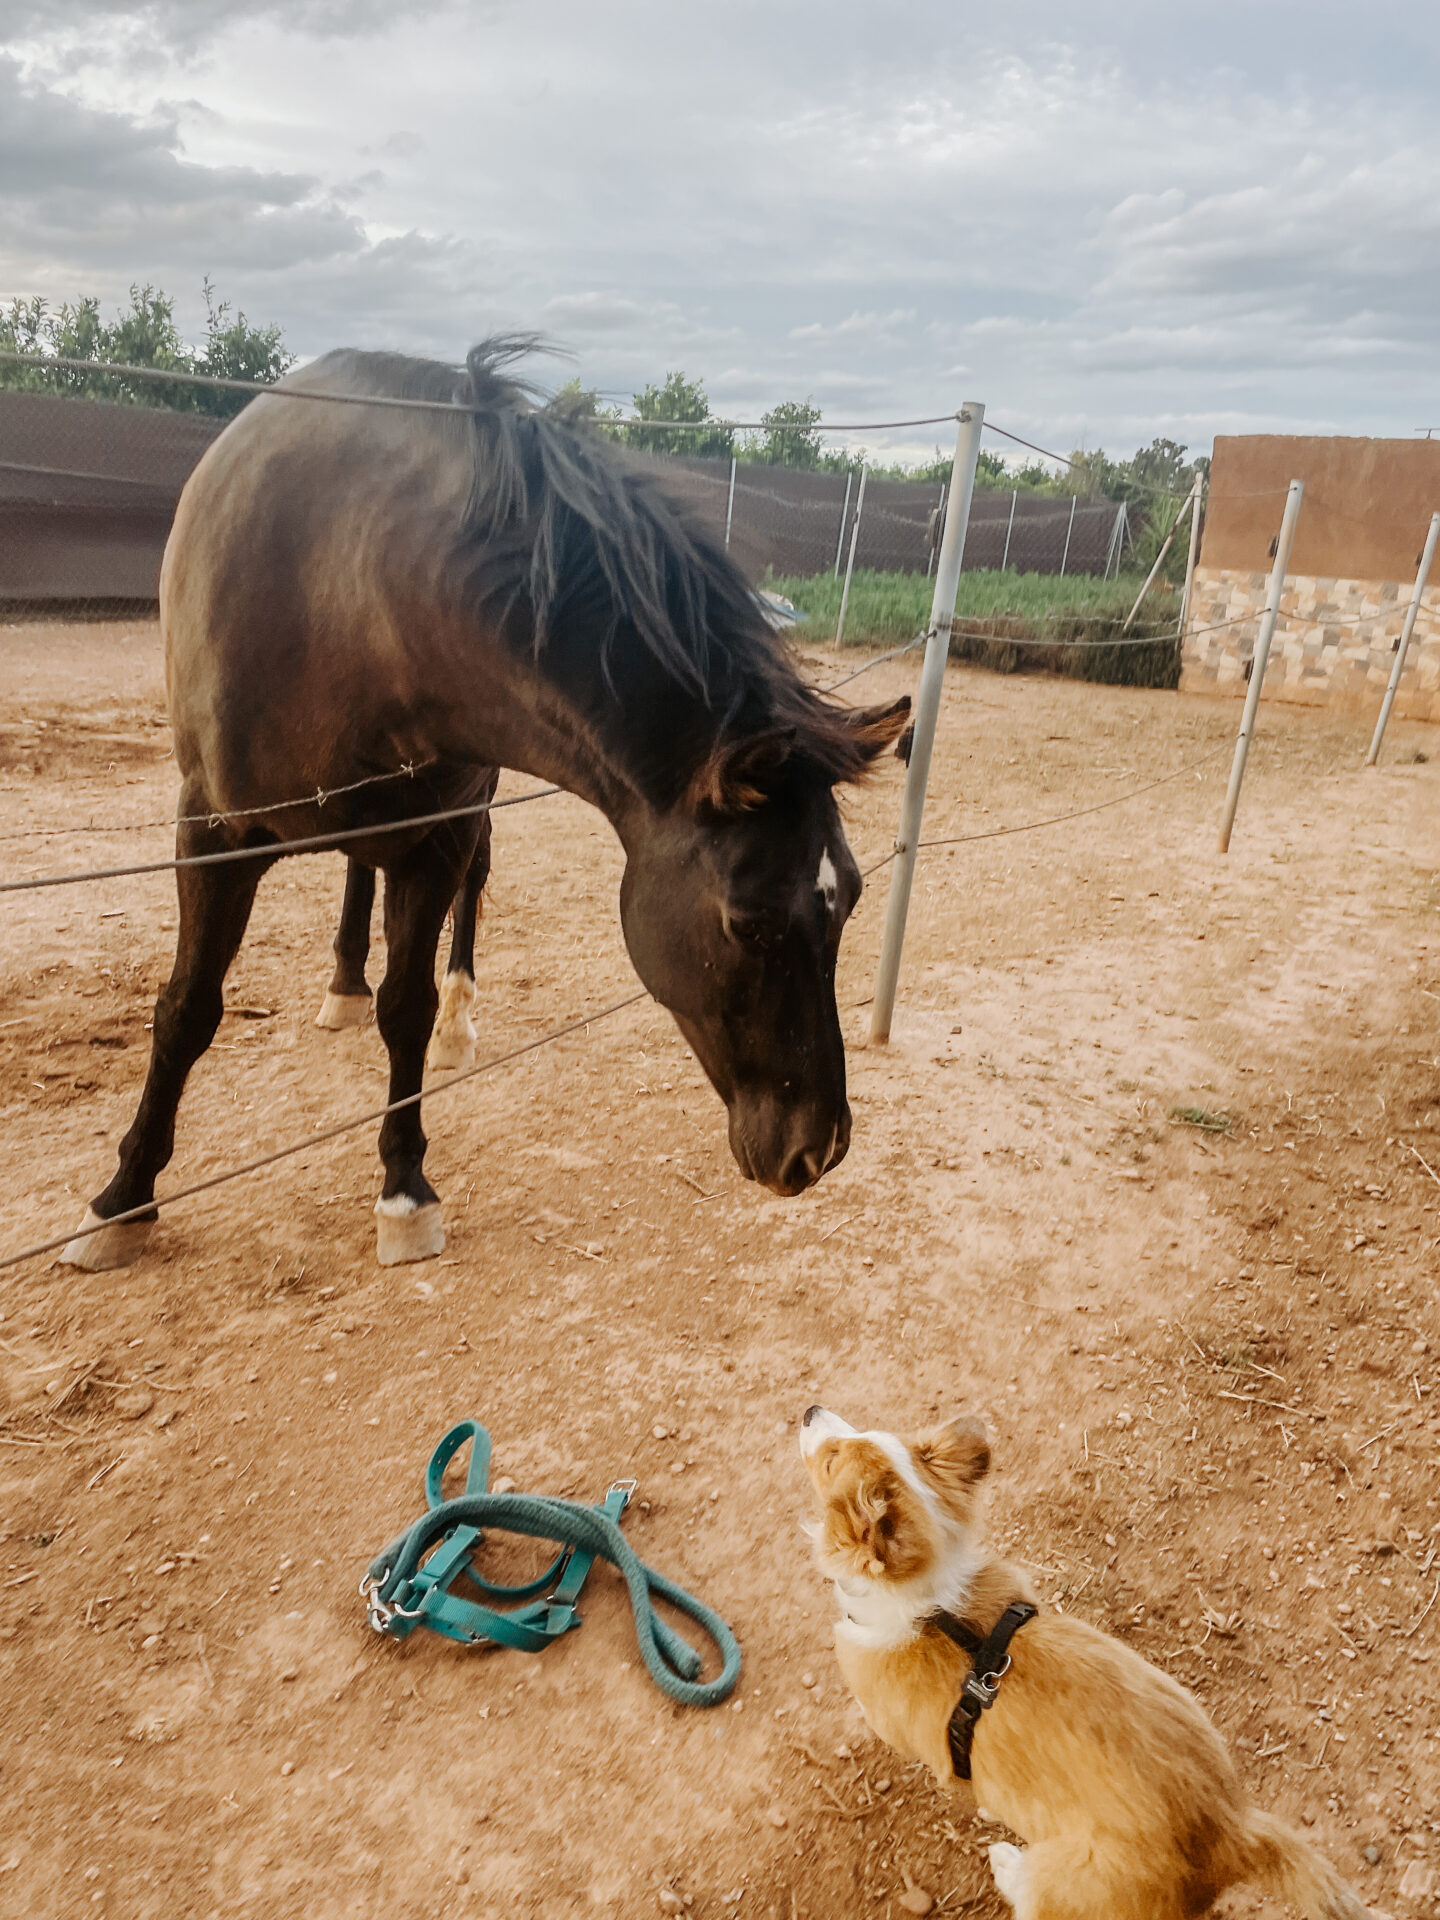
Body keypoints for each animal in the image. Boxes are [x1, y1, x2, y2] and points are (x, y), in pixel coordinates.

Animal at [61, 341, 913, 1274]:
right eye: (749, 925)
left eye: (851, 899)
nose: (817, 1151)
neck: (352, 584)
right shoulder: (212, 833)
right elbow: (187, 1010)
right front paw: (121, 1198)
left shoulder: (434, 838)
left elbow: (408, 1005)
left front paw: (404, 1191)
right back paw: (341, 984)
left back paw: (447, 1017)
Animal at [802, 1405, 1374, 1920]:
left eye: (831, 1460)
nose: (809, 1410)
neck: (937, 1607)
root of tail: (1230, 1832)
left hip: (1059, 1886)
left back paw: (1009, 1865)